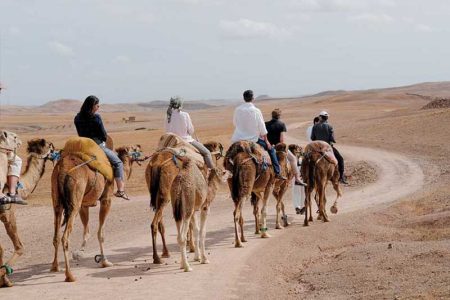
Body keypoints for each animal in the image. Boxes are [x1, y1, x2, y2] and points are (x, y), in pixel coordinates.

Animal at [0, 138, 55, 288]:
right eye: (50, 146)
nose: (59, 151)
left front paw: (4, 279)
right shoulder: (7, 214)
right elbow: (19, 247)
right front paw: (4, 278)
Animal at [49, 142, 142, 282]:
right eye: (134, 149)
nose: (140, 148)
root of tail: (62, 170)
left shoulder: (84, 205)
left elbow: (86, 230)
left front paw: (80, 253)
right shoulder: (106, 199)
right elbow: (100, 233)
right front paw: (105, 262)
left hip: (57, 201)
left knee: (56, 236)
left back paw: (55, 267)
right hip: (74, 202)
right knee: (65, 237)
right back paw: (69, 275)